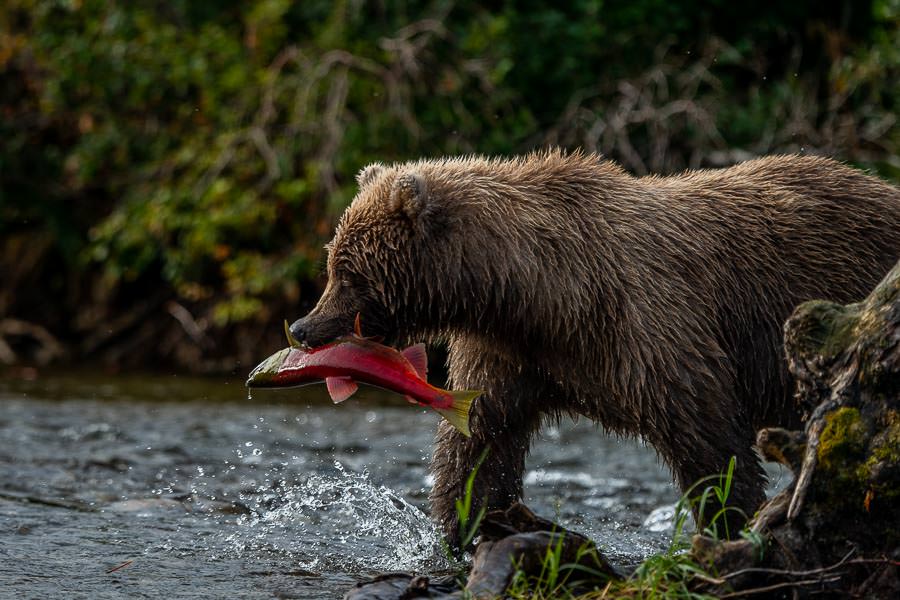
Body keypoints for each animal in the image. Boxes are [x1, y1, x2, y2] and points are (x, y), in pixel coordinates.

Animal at [288, 150, 900, 544]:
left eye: (347, 271)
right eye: (333, 261)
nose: (301, 326)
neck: (541, 294)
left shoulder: (650, 324)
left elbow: (707, 437)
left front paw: (736, 521)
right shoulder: (514, 354)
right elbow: (480, 441)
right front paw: (464, 523)